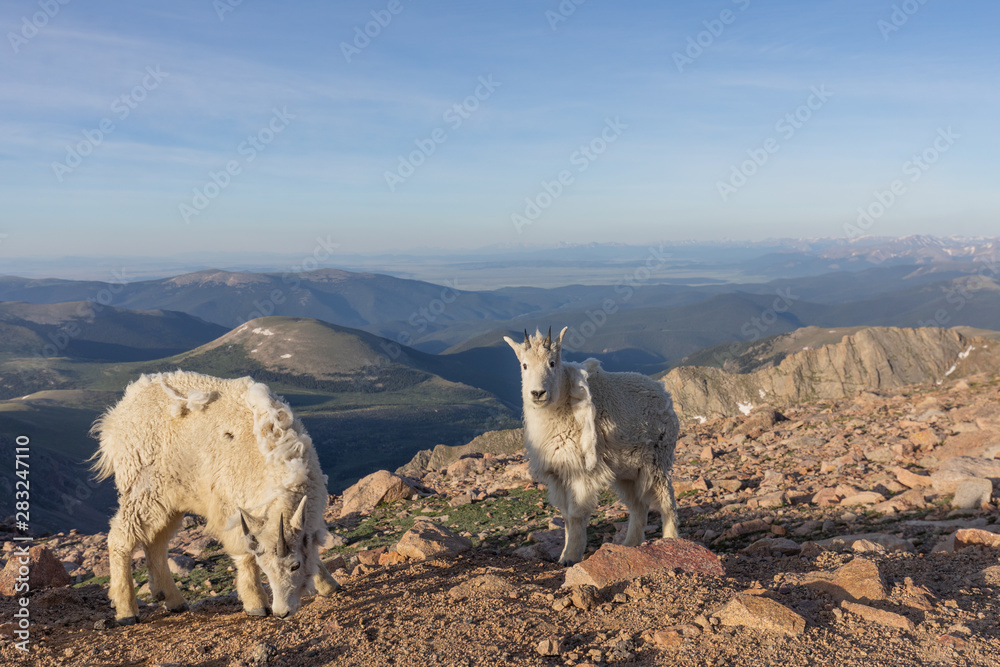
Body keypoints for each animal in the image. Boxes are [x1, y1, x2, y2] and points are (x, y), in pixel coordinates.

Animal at [91, 370, 340, 628]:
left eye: (295, 565)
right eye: (265, 568)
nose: (282, 612)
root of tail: (115, 418)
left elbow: (311, 549)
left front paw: (329, 585)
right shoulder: (230, 505)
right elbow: (243, 554)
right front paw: (256, 604)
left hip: (169, 499)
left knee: (156, 541)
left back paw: (172, 600)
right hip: (142, 488)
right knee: (121, 537)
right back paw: (126, 610)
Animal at [504, 328, 684, 564]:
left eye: (552, 363)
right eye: (524, 365)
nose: (538, 393)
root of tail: (664, 393)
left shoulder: (581, 471)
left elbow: (576, 514)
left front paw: (570, 557)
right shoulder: (559, 473)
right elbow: (566, 516)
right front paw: (565, 553)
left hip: (657, 460)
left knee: (666, 500)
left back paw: (671, 539)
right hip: (627, 471)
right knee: (638, 506)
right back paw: (630, 544)